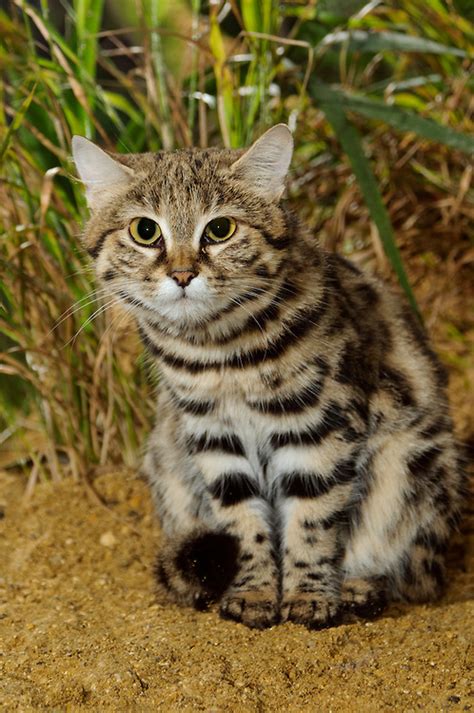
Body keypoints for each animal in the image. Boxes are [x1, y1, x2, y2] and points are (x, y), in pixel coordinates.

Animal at [73, 124, 462, 628]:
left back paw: (358, 587)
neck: (219, 354)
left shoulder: (318, 427)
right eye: (145, 231)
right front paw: (255, 592)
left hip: (410, 461)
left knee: (413, 573)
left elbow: (312, 518)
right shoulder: (213, 434)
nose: (182, 273)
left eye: (220, 229)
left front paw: (309, 596)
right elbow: (241, 521)